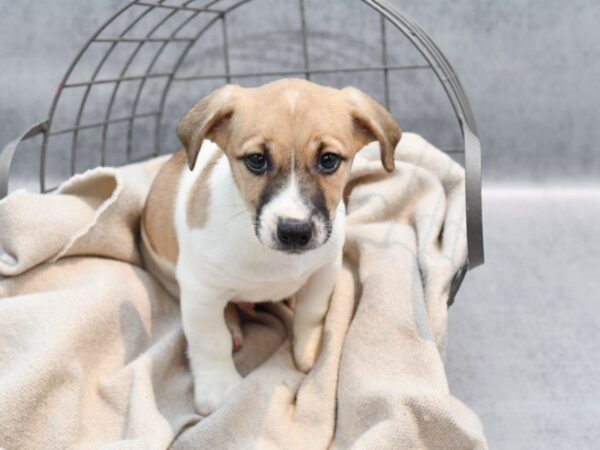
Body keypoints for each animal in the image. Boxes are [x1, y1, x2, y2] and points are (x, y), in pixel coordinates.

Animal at [142, 78, 400, 414]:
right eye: (256, 160)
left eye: (328, 160)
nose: (294, 232)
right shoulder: (200, 290)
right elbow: (210, 341)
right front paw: (218, 389)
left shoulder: (324, 270)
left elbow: (311, 312)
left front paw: (307, 349)